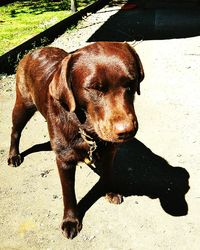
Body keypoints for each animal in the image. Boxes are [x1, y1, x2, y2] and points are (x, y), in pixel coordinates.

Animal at [7, 42, 144, 239]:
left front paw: (109, 191)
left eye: (131, 83)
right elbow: (68, 192)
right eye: (94, 88)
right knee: (15, 131)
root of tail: (35, 51)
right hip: (23, 105)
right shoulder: (64, 161)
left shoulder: (109, 152)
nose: (127, 131)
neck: (85, 129)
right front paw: (71, 221)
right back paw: (13, 155)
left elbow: (108, 173)